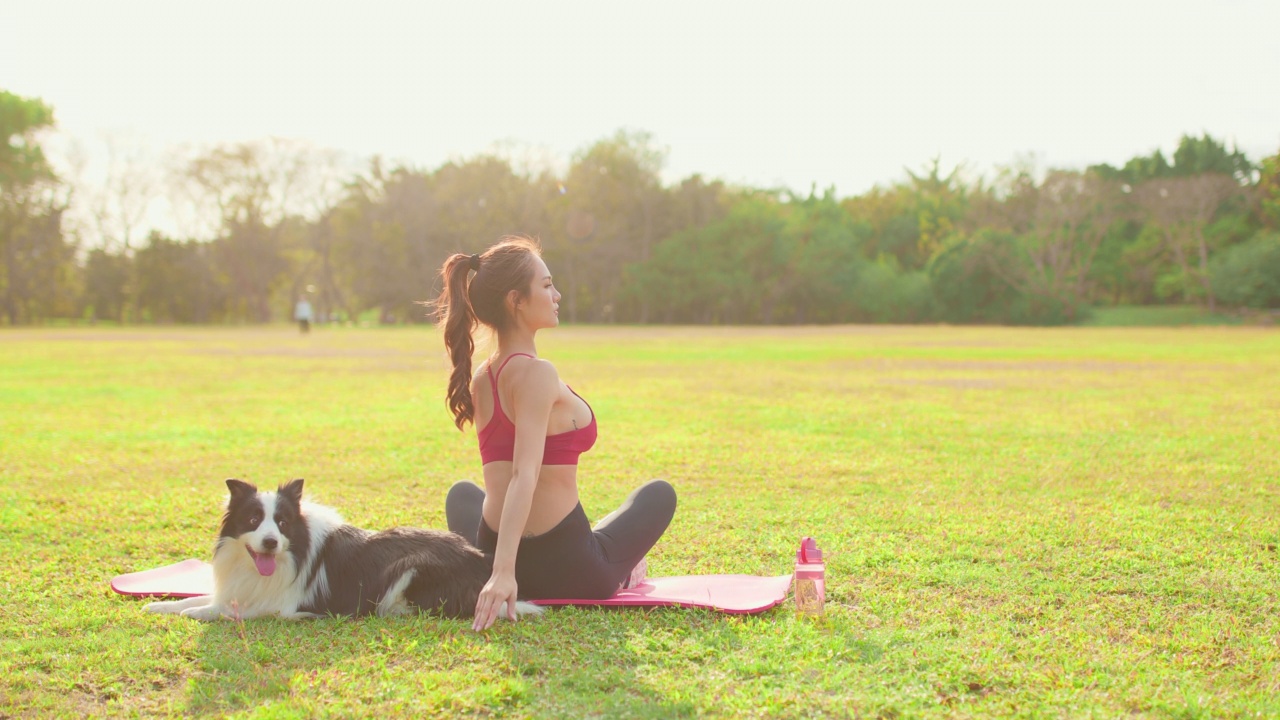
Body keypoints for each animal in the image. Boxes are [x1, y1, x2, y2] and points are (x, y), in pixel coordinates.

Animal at [145, 476, 540, 617]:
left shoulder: (283, 607)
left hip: (408, 568)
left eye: (282, 523)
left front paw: (191, 613)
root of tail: (481, 565)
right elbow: (204, 600)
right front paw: (157, 606)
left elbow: (220, 611)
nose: (271, 542)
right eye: (254, 519)